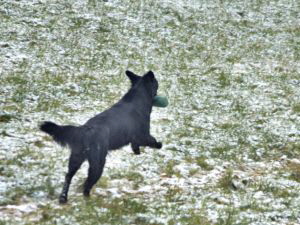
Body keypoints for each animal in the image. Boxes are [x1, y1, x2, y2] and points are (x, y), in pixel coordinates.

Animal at [40, 71, 162, 204]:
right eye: (156, 83)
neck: (138, 98)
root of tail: (84, 129)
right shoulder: (143, 135)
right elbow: (153, 141)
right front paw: (158, 144)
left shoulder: (136, 139)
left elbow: (136, 146)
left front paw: (137, 152)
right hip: (98, 163)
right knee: (87, 184)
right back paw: (89, 199)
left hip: (76, 159)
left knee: (68, 176)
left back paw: (63, 198)